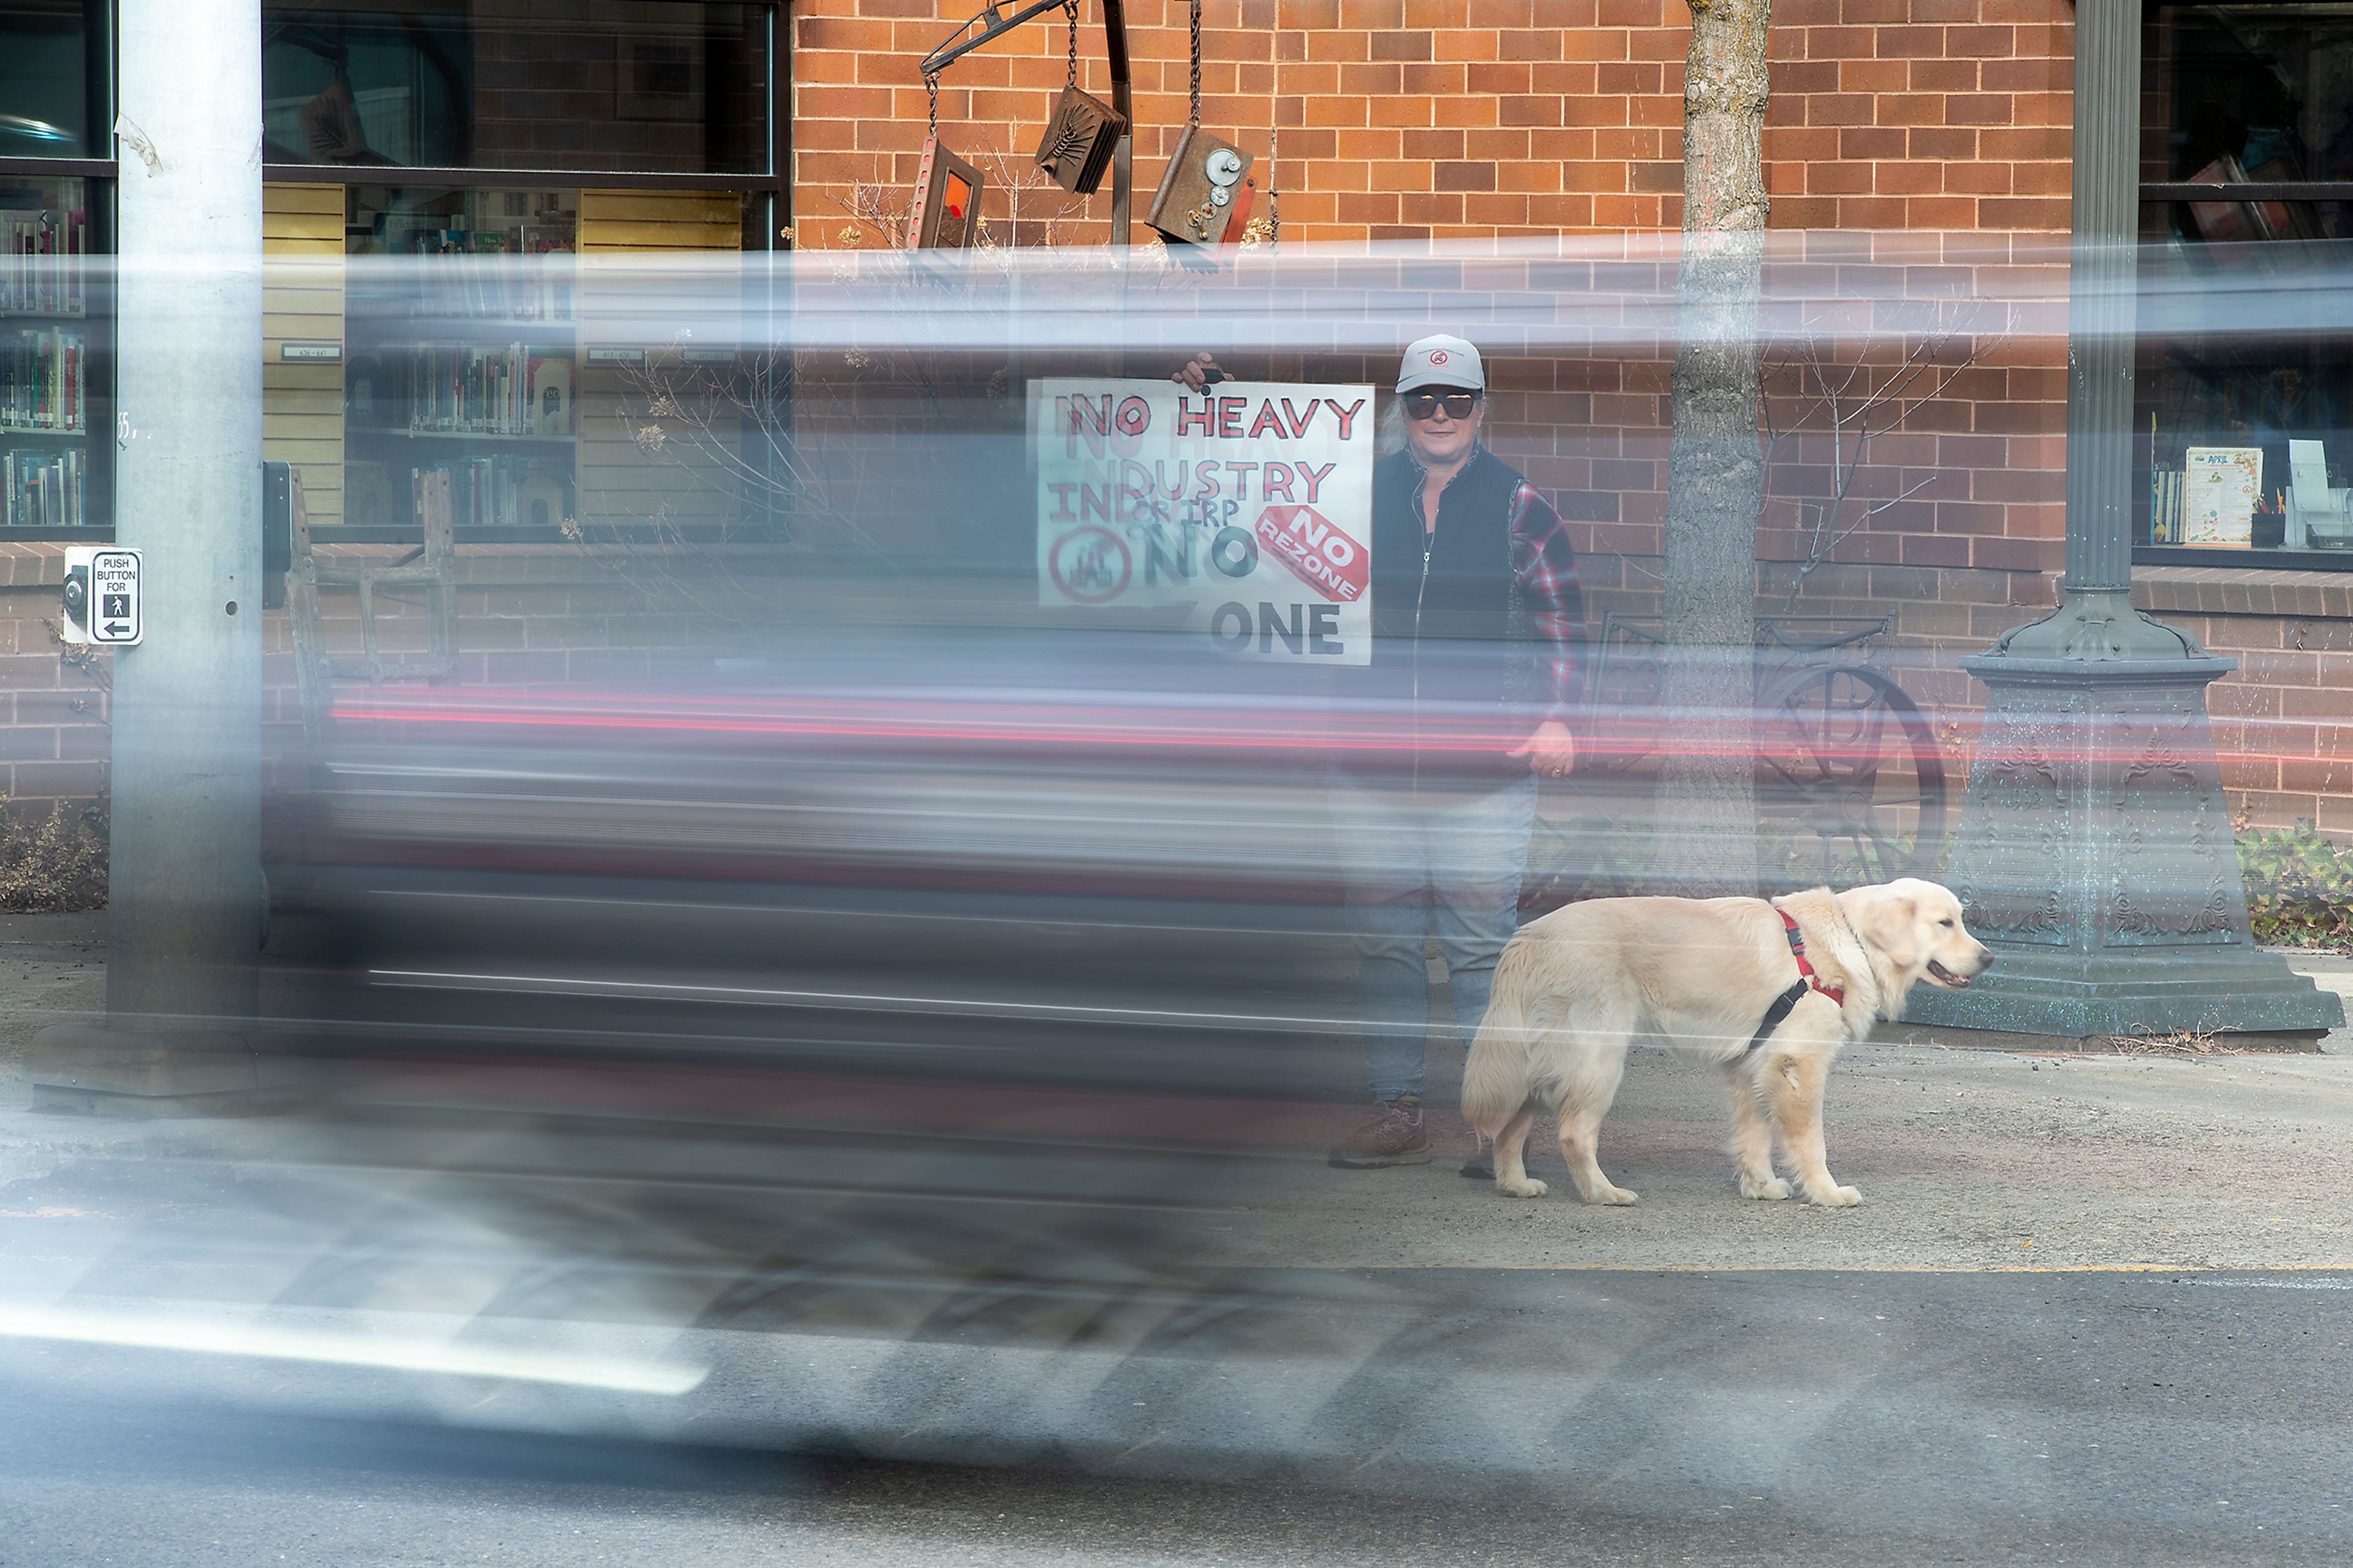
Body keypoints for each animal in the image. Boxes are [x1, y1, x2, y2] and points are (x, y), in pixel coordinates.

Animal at [1468, 881, 1985, 1205]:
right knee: (1573, 1134)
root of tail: (1528, 936)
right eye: (1945, 923)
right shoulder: (1798, 1067)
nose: (1990, 956)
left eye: (1960, 920)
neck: (1847, 939)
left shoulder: (1750, 1066)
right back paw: (1603, 1193)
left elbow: (1754, 1136)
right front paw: (1826, 1193)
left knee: (1508, 1129)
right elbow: (1811, 1143)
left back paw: (1515, 1185)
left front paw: (1762, 1187)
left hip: (1536, 1064)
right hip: (1597, 1060)